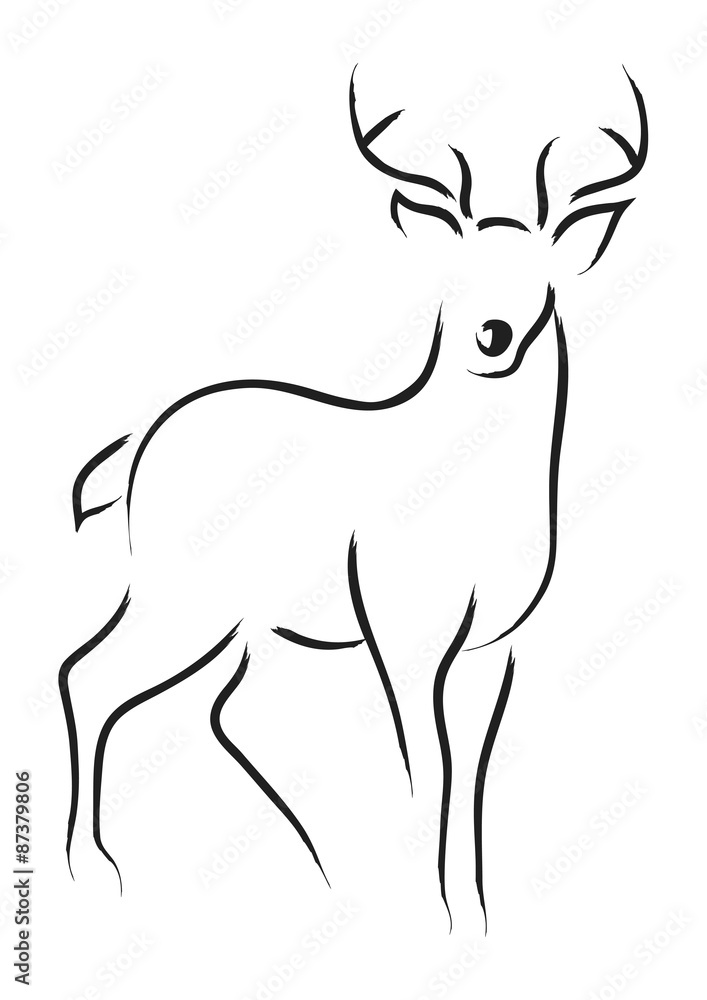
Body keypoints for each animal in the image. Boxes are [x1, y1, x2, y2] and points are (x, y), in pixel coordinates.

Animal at [59, 65, 647, 931]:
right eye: (454, 276)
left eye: (539, 277)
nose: (493, 335)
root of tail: (136, 447)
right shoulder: (400, 630)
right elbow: (419, 771)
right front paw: (429, 918)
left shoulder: (493, 647)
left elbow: (471, 781)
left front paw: (472, 920)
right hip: (180, 600)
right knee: (89, 675)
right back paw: (95, 874)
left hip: (228, 620)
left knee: (203, 707)